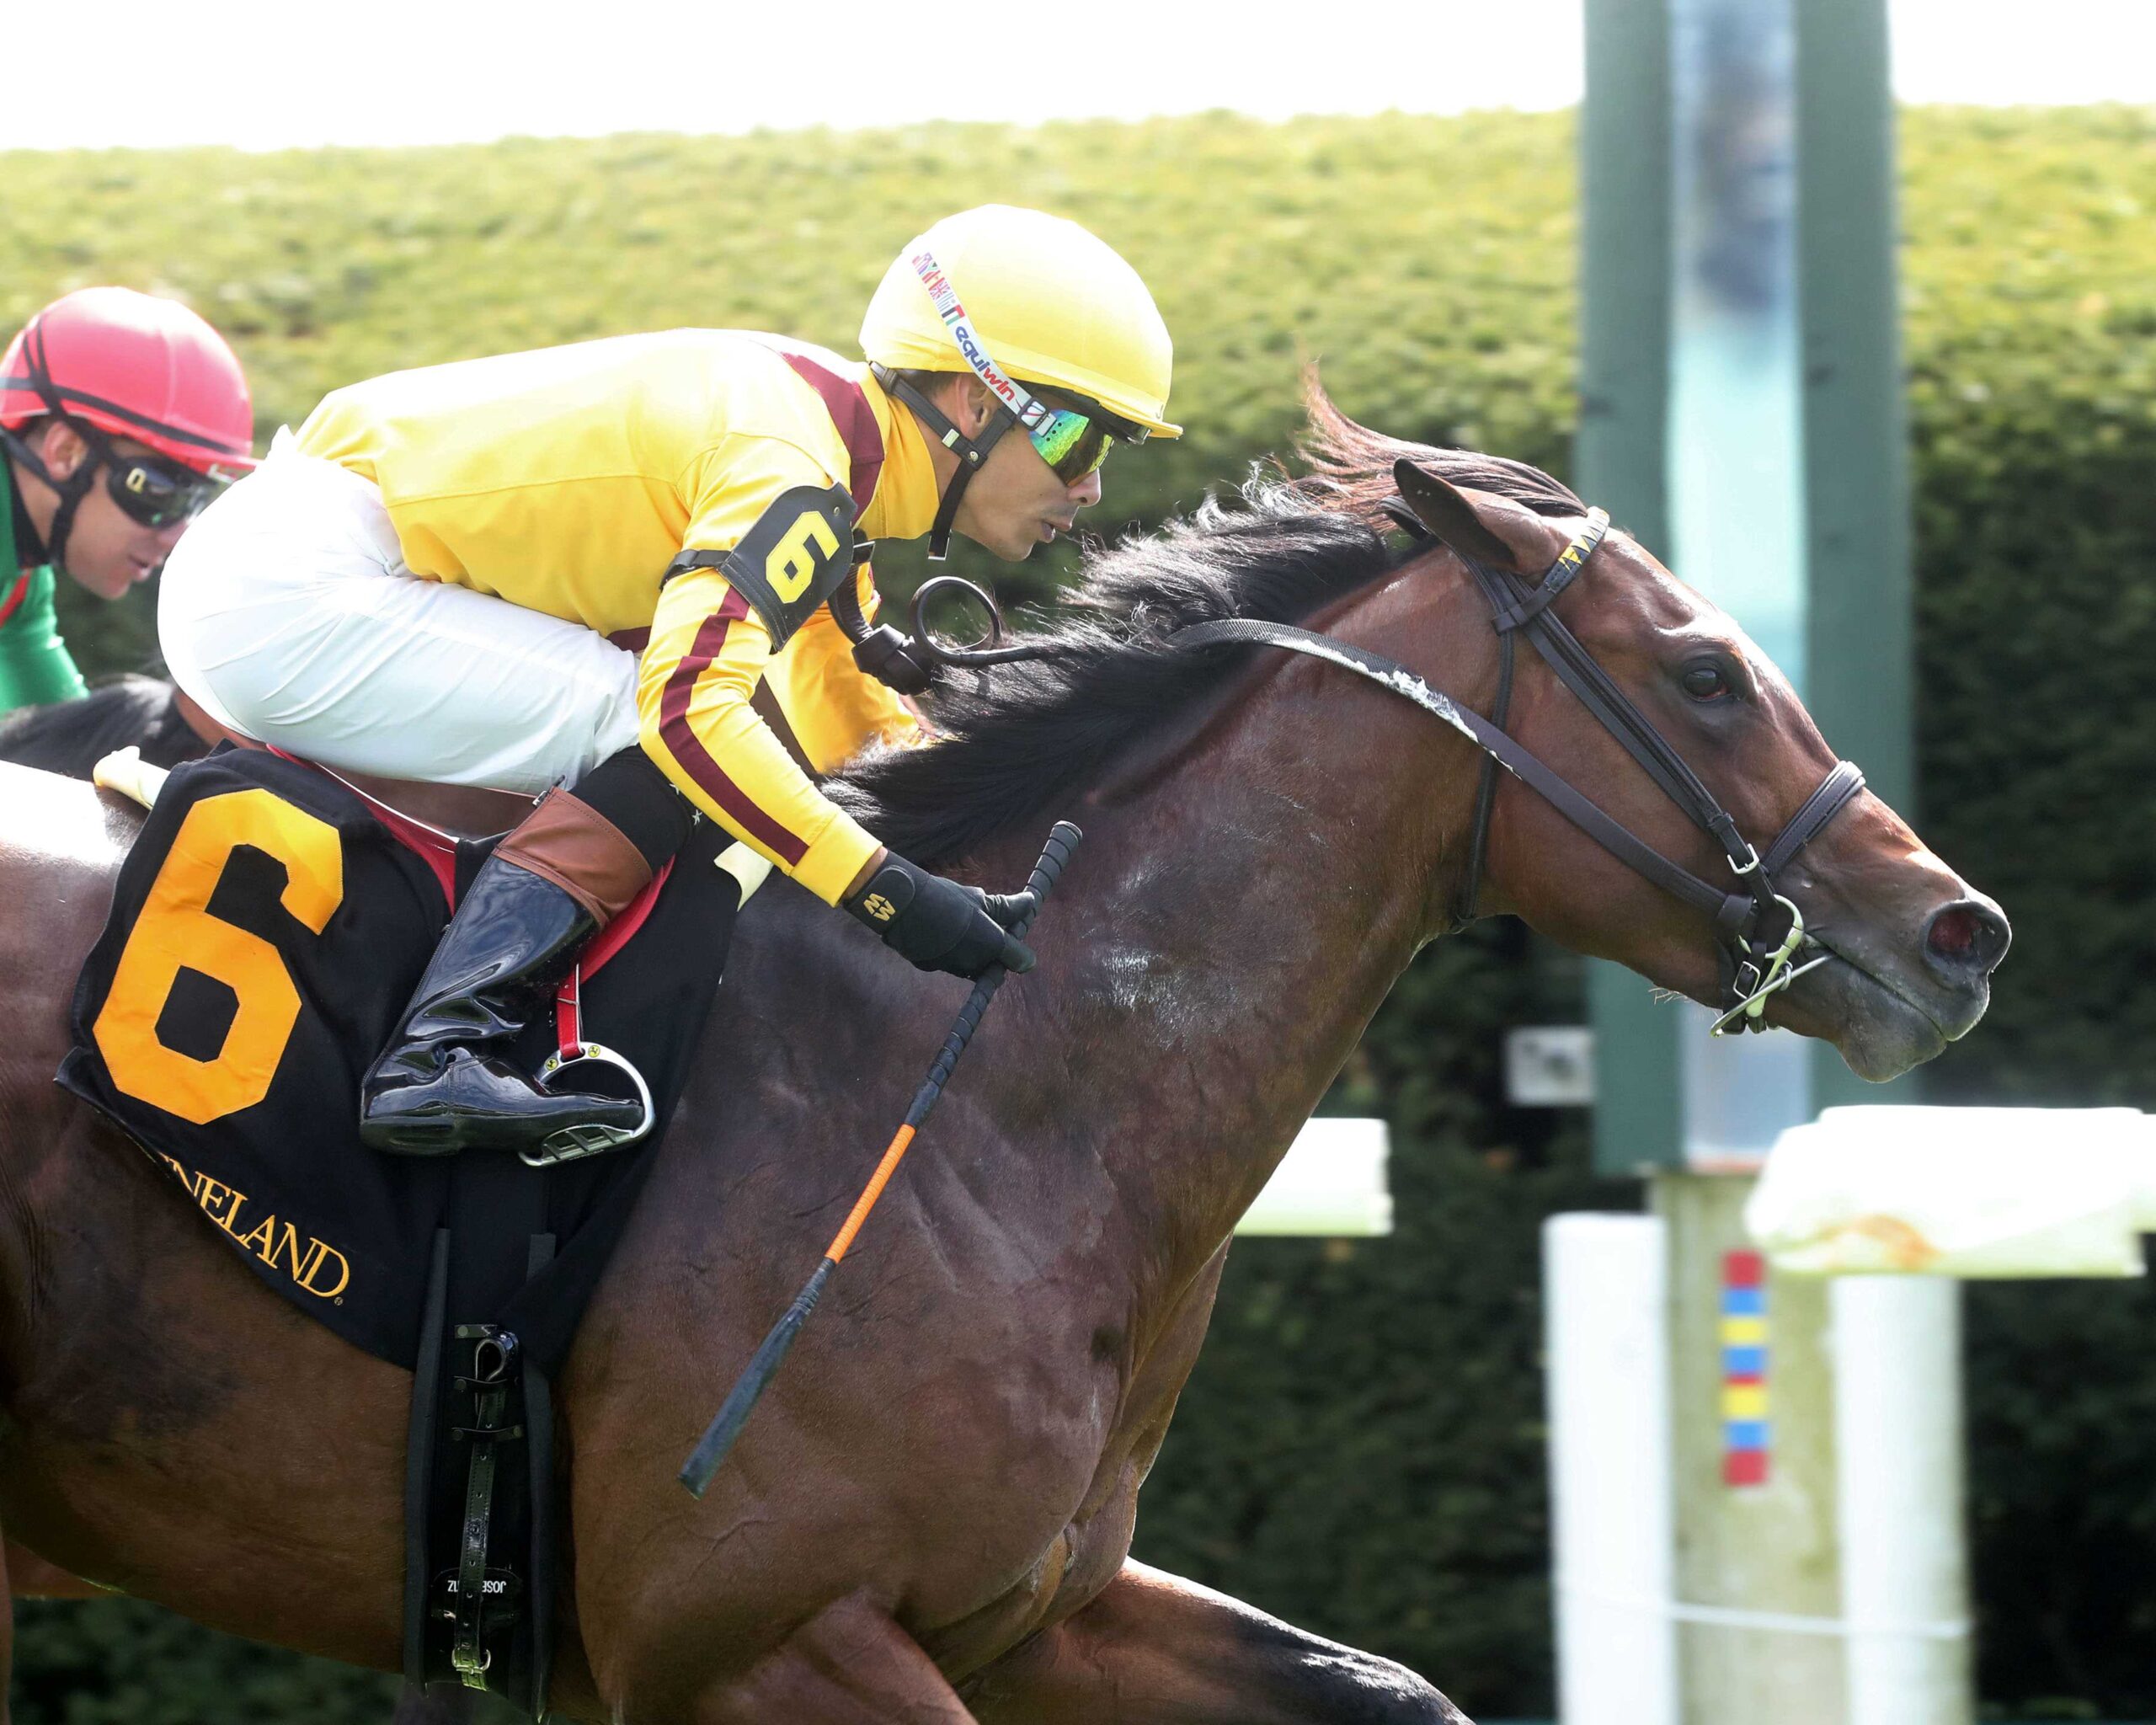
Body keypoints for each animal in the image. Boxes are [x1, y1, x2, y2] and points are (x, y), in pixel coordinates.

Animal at [0, 400, 2007, 1723]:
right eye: (1703, 675)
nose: (1956, 932)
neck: (996, 1095)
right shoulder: (766, 1637)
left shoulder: (1038, 1606)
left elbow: (1382, 1686)